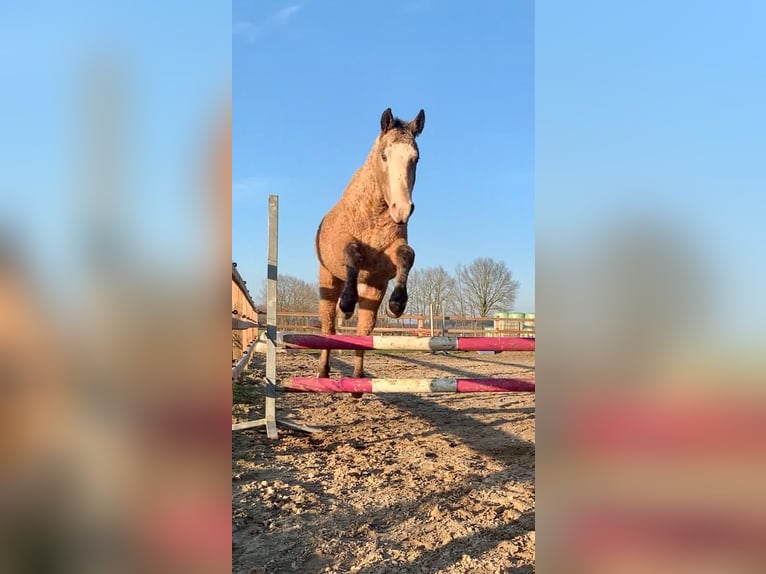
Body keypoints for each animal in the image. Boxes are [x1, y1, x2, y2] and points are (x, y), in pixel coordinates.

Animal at [315, 107, 426, 383]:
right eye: (384, 155)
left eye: (416, 158)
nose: (403, 209)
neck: (373, 212)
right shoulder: (344, 242)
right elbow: (353, 254)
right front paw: (346, 304)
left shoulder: (386, 262)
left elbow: (407, 255)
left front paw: (397, 304)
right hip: (328, 281)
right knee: (328, 326)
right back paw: (323, 370)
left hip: (373, 290)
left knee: (364, 332)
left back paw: (357, 378)